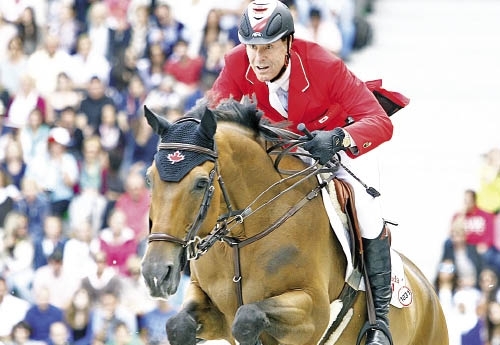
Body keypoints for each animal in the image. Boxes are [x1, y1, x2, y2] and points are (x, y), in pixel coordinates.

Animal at [141, 97, 450, 344]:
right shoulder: (208, 302)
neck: (243, 237)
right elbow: (179, 325)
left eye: (201, 183)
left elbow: (248, 317)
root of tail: (428, 290)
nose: (156, 273)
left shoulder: (312, 312)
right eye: (149, 178)